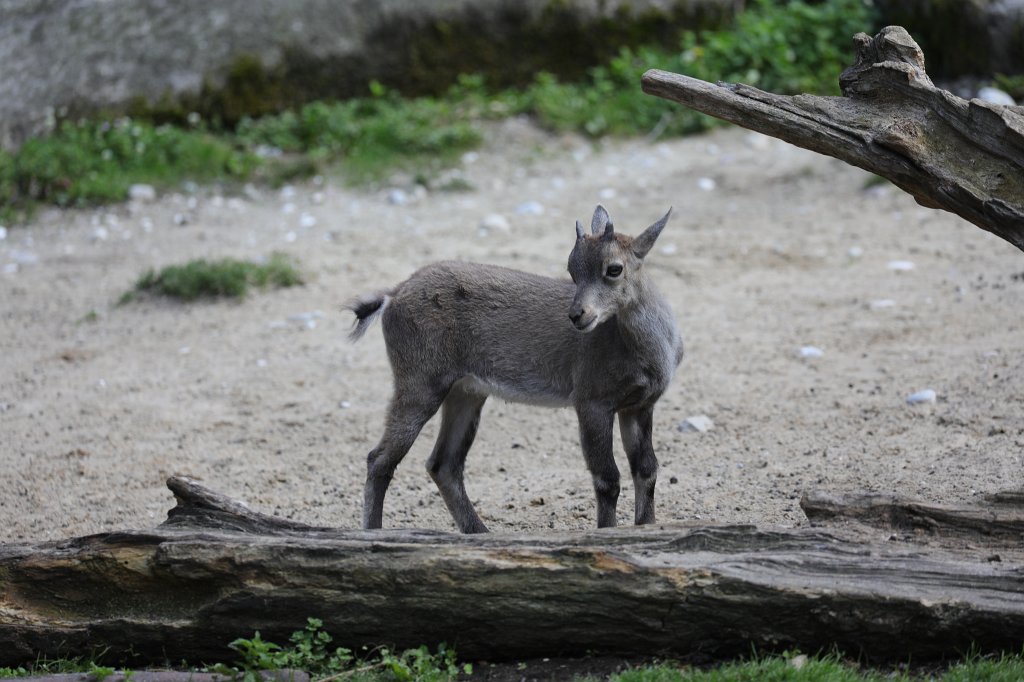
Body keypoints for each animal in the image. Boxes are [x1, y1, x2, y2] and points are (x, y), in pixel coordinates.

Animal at [348, 205, 683, 533]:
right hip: (420, 382)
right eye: (572, 270)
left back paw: (480, 533)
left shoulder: (638, 406)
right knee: (380, 459)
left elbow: (646, 470)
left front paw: (647, 528)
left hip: (465, 391)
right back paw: (374, 532)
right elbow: (607, 479)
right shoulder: (592, 402)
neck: (642, 350)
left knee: (443, 464)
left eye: (614, 269)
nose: (578, 315)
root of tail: (393, 294)